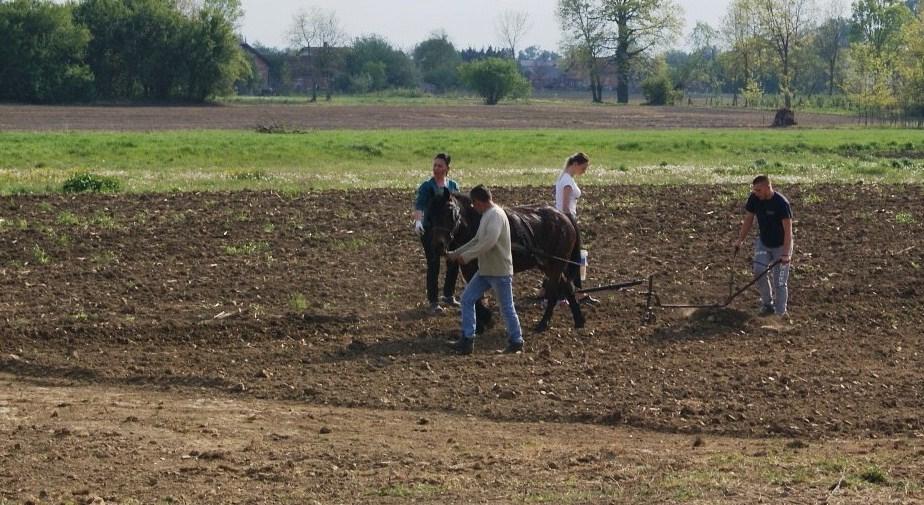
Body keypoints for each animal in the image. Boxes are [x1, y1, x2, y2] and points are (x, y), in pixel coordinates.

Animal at [426, 187, 584, 332]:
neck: (476, 222)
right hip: (548, 265)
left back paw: (543, 323)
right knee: (567, 286)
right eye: (430, 214)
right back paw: (578, 320)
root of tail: (563, 216)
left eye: (449, 211)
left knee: (554, 291)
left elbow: (477, 297)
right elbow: (475, 296)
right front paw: (481, 323)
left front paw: (486, 319)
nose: (438, 246)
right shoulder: (468, 269)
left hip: (557, 264)